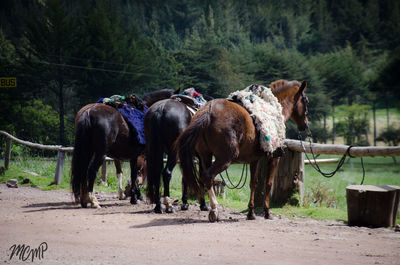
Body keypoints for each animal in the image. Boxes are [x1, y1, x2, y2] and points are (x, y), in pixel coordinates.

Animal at [177, 80, 310, 221]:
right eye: (305, 100)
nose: (306, 124)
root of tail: (208, 110)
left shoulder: (254, 159)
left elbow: (253, 183)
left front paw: (251, 212)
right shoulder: (274, 157)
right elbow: (268, 184)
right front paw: (267, 212)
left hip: (205, 156)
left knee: (204, 178)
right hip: (225, 159)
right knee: (208, 176)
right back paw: (214, 209)